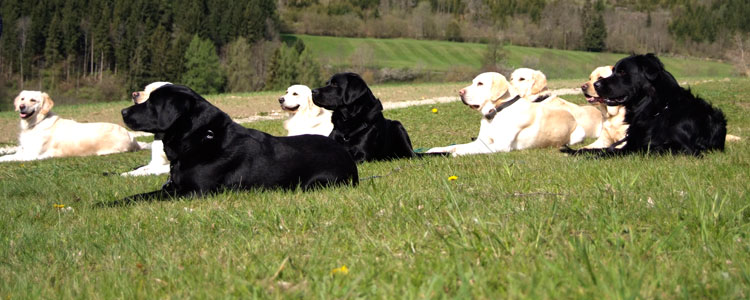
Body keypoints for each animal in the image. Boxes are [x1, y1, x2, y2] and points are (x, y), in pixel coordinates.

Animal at [564, 54, 728, 157]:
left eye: (622, 72)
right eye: (613, 72)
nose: (595, 85)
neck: (657, 111)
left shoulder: (681, 148)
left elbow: (618, 151)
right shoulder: (629, 141)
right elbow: (597, 149)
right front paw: (572, 151)